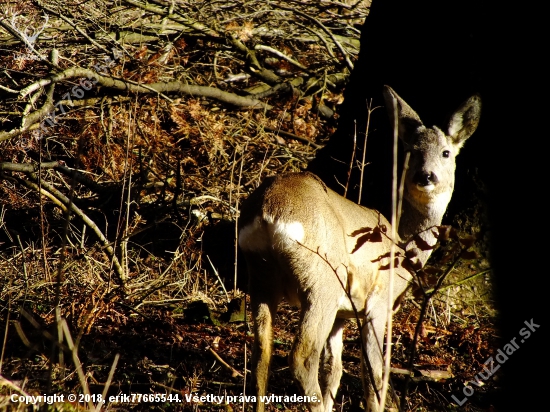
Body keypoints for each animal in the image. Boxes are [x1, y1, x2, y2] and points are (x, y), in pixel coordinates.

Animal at [239, 85, 480, 410]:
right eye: (412, 151)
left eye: (445, 152)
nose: (426, 176)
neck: (403, 245)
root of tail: (268, 211)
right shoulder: (377, 304)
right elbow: (375, 374)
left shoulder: (343, 315)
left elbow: (335, 369)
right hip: (321, 280)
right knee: (302, 356)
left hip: (260, 276)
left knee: (261, 353)